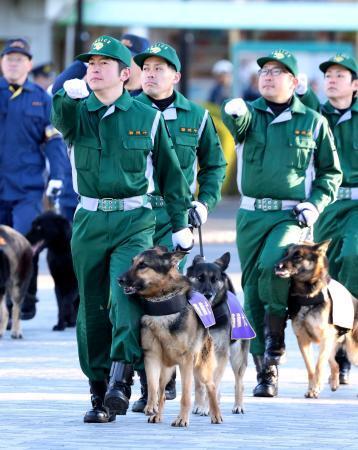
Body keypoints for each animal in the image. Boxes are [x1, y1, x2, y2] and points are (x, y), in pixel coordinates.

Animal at [119, 248, 222, 428]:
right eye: (133, 262)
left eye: (143, 265)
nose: (119, 280)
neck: (161, 304)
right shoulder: (151, 356)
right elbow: (152, 386)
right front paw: (150, 406)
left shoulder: (186, 361)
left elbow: (185, 396)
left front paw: (182, 419)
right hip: (166, 370)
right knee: (161, 390)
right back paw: (157, 414)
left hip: (200, 368)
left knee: (211, 386)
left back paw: (215, 415)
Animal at [187, 251, 249, 414]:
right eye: (200, 277)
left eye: (214, 280)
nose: (208, 295)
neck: (210, 313)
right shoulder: (196, 353)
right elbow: (199, 384)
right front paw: (199, 406)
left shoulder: (221, 352)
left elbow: (213, 382)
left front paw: (206, 408)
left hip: (237, 358)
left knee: (239, 382)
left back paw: (238, 405)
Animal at [276, 241, 356, 400]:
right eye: (286, 254)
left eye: (298, 256)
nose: (277, 266)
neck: (307, 294)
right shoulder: (303, 340)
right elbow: (311, 368)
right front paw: (312, 389)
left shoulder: (324, 339)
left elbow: (319, 366)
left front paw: (316, 388)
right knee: (335, 364)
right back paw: (334, 382)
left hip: (351, 351)